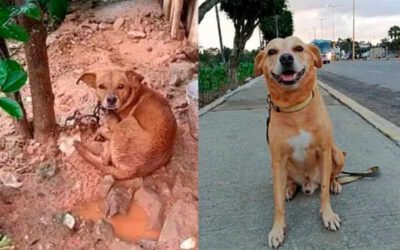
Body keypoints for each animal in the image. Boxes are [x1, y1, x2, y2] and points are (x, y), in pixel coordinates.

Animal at [256, 36, 346, 248]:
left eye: (298, 48)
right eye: (271, 52)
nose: (286, 58)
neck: (295, 107)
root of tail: (308, 184)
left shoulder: (324, 151)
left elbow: (324, 192)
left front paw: (328, 215)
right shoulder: (277, 160)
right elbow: (278, 203)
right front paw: (277, 229)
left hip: (336, 154)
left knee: (331, 176)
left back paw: (335, 184)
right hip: (282, 168)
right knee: (289, 182)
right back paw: (289, 188)